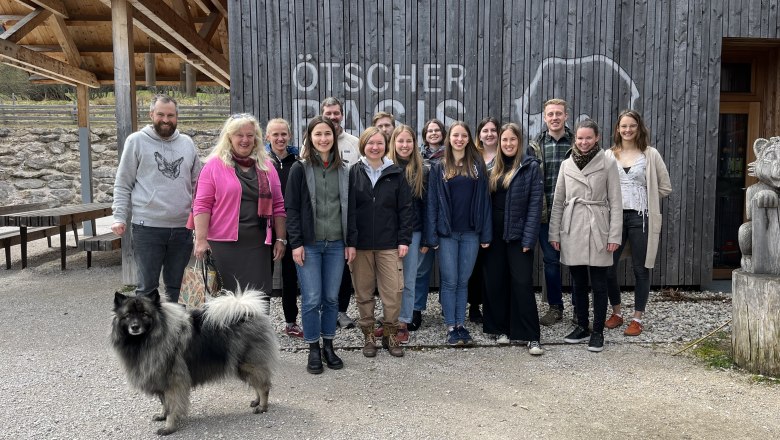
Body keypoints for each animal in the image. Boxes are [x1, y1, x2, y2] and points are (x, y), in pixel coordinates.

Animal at [111, 288, 278, 434]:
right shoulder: (161, 380)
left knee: (263, 386)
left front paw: (169, 427)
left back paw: (262, 407)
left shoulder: (174, 383)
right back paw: (256, 401)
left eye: (145, 314)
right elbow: (164, 403)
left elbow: (172, 407)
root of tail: (247, 312)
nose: (134, 327)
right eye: (127, 315)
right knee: (257, 384)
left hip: (247, 364)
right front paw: (162, 415)